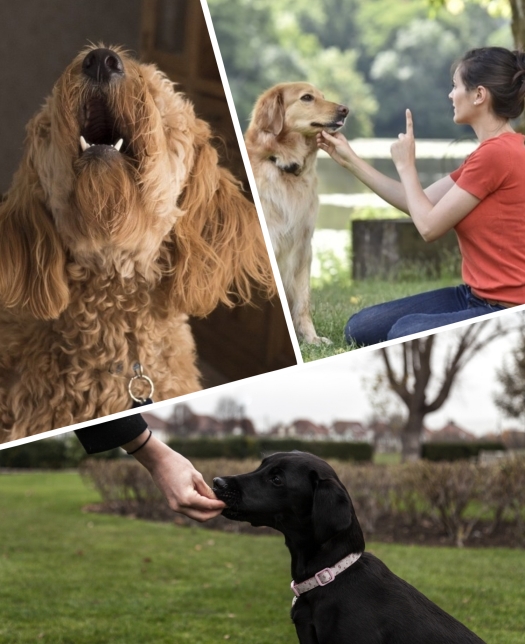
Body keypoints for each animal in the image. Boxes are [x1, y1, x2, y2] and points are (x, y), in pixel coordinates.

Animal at [246, 83, 348, 344]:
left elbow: (303, 300)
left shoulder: (303, 247)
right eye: (307, 98)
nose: (345, 110)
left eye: (323, 96)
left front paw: (312, 339)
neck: (284, 166)